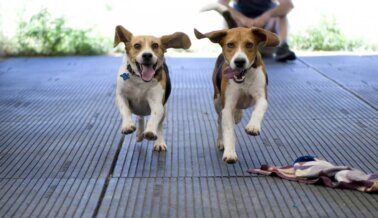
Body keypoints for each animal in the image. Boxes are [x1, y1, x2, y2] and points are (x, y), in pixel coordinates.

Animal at [195, 27, 280, 163]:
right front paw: (229, 153)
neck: (244, 78)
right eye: (230, 45)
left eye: (249, 44)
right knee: (220, 122)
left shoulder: (262, 97)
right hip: (217, 101)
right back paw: (221, 141)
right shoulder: (227, 106)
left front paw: (253, 127)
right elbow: (229, 131)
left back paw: (239, 115)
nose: (239, 61)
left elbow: (258, 110)